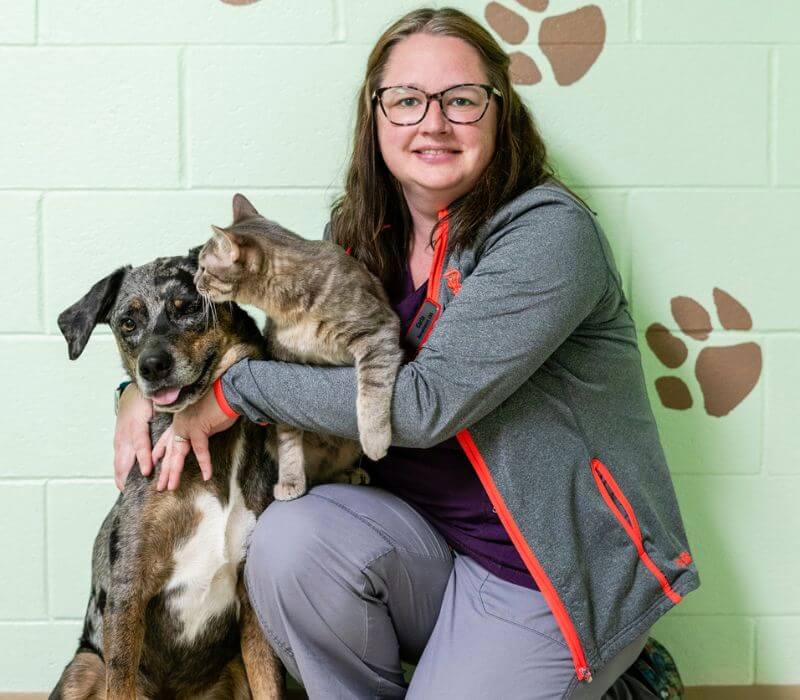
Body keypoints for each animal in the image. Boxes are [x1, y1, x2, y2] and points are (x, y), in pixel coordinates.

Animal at [52, 252, 284, 700]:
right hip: (83, 667)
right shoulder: (128, 593)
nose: (152, 366)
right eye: (128, 322)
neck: (212, 455)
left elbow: (271, 685)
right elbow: (120, 682)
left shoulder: (253, 606)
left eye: (188, 307)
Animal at [195, 194, 406, 500]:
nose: (194, 280)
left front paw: (376, 439)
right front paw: (291, 481)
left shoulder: (378, 329)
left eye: (203, 267)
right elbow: (288, 441)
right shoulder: (284, 371)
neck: (288, 310)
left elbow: (372, 391)